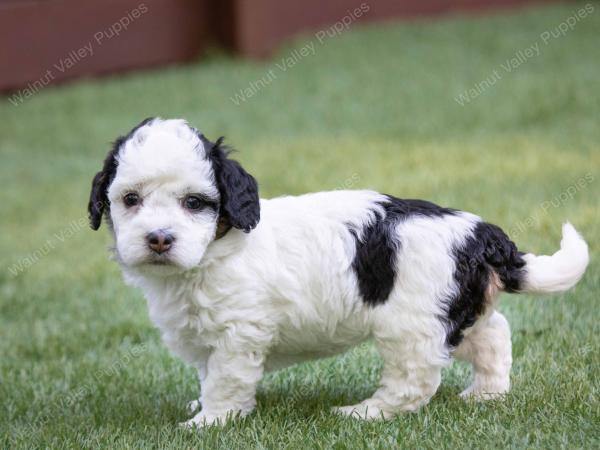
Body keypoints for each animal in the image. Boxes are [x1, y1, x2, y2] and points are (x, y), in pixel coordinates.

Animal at [86, 118, 588, 428]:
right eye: (130, 199)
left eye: (194, 203)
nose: (158, 239)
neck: (215, 250)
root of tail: (478, 233)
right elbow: (211, 375)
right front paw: (206, 405)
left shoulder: (237, 333)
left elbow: (226, 379)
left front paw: (210, 421)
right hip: (453, 312)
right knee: (494, 336)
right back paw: (486, 394)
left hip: (411, 323)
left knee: (414, 381)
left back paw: (365, 413)